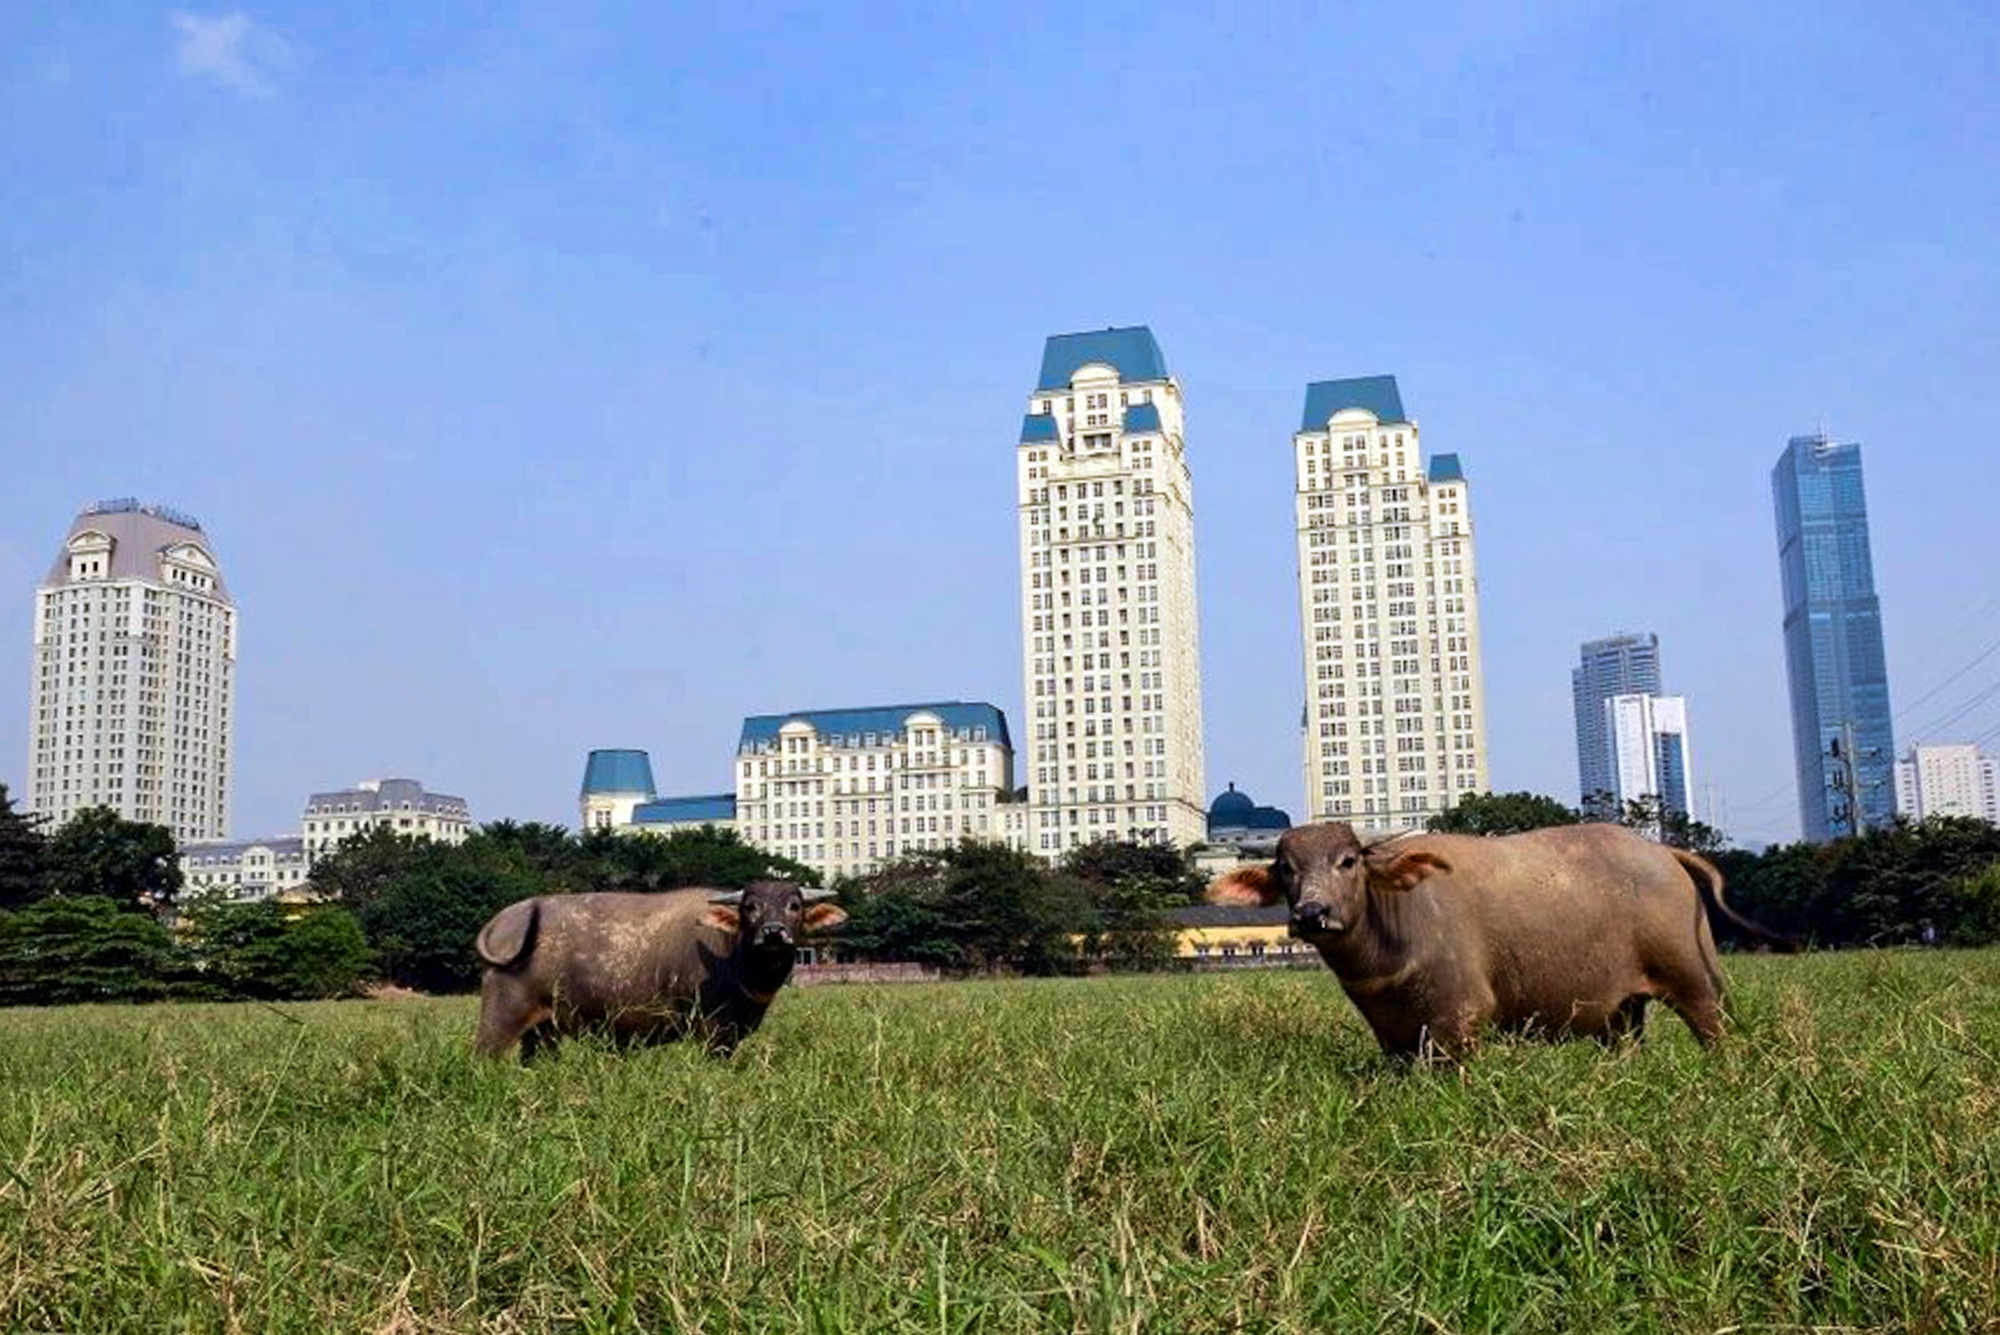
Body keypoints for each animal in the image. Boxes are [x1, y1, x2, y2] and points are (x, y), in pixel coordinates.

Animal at [472, 879, 848, 1055]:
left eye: (794, 905)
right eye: (751, 906)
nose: (773, 932)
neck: (732, 958)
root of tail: (508, 917)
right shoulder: (710, 1033)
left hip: (543, 1031)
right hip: (499, 1020)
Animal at [1200, 819, 1800, 1055]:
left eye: (1348, 861)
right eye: (1286, 869)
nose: (1311, 913)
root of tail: (1663, 853)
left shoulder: (1463, 1023)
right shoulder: (1395, 1040)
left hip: (1699, 982)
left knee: (1715, 1030)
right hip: (1621, 1010)